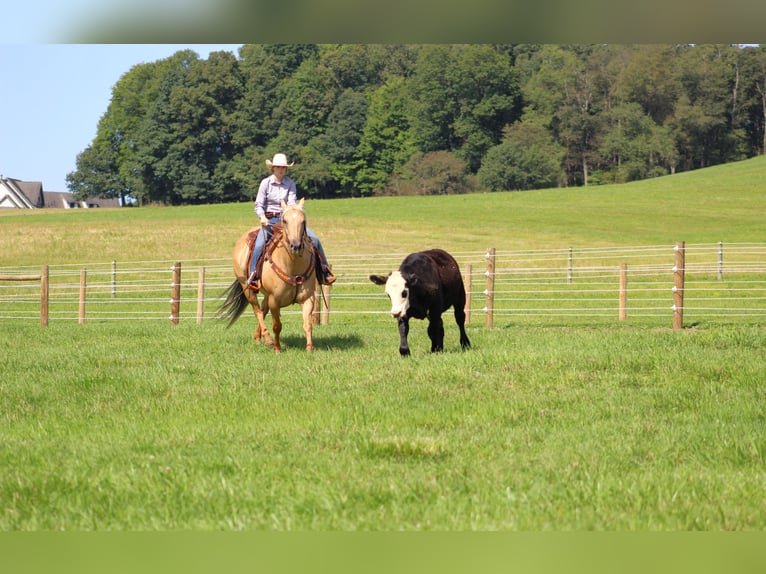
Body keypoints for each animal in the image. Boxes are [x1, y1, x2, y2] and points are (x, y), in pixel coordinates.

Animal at [219, 198, 318, 354]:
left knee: (263, 310)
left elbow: (308, 324)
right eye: (284, 220)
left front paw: (309, 348)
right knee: (258, 311)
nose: (295, 246)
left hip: (266, 295)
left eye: (303, 221)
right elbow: (277, 326)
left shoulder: (308, 298)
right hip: (247, 288)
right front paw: (277, 348)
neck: (292, 266)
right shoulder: (275, 300)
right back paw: (268, 340)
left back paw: (258, 337)